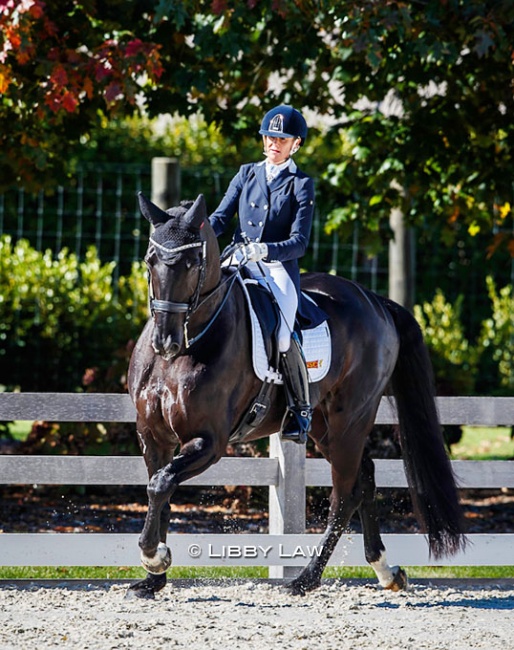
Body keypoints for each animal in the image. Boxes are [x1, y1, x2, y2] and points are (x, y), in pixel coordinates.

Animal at [127, 191, 464, 596]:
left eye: (193, 263)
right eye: (151, 260)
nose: (166, 342)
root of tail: (375, 300)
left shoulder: (209, 441)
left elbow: (161, 484)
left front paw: (153, 557)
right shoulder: (152, 435)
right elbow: (158, 489)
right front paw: (152, 579)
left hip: (351, 419)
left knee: (345, 493)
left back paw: (306, 579)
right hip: (323, 424)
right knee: (364, 476)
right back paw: (385, 570)